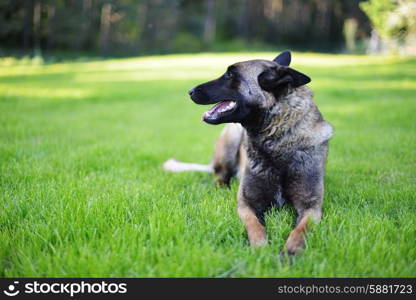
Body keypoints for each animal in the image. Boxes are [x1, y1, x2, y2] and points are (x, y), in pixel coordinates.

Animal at [164, 50, 334, 254]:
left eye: (230, 75)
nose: (189, 91)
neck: (277, 140)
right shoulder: (246, 204)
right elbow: (255, 226)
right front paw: (261, 249)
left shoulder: (311, 207)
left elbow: (301, 229)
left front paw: (290, 250)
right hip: (231, 138)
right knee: (219, 176)